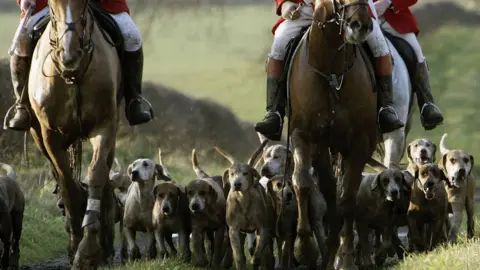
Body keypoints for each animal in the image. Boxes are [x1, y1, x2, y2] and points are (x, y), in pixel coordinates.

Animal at [26, 0, 122, 268]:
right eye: (51, 4)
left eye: (84, 4)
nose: (69, 56)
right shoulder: (50, 136)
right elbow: (67, 183)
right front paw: (76, 241)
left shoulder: (105, 126)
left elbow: (97, 174)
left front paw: (89, 250)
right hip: (38, 135)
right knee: (60, 178)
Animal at [284, 0, 382, 268]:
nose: (361, 25)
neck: (331, 72)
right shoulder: (304, 135)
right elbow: (302, 182)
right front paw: (304, 248)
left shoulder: (360, 143)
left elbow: (347, 199)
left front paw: (345, 258)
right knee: (328, 191)